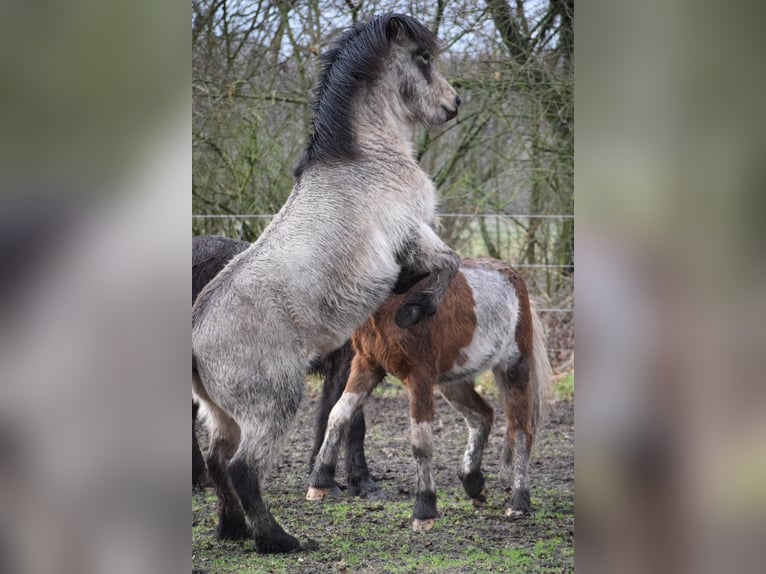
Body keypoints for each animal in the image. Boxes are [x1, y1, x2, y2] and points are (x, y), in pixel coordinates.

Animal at [307, 258, 552, 531]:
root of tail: (514, 277)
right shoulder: (365, 365)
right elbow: (338, 415)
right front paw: (320, 482)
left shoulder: (419, 376)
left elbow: (420, 443)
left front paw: (424, 511)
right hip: (451, 380)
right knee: (481, 415)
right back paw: (474, 484)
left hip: (513, 368)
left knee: (520, 431)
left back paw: (519, 503)